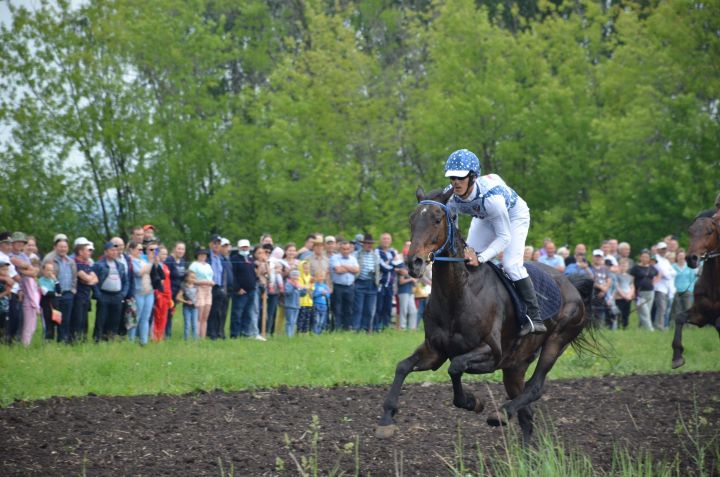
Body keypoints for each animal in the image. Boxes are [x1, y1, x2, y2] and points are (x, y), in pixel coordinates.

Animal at [374, 188, 592, 440]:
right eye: (412, 218)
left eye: (437, 219)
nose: (413, 262)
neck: (460, 294)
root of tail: (572, 284)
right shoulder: (435, 350)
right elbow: (403, 366)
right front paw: (386, 418)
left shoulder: (492, 353)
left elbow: (456, 366)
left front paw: (473, 402)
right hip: (515, 365)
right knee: (526, 413)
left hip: (556, 341)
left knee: (535, 387)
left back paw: (501, 413)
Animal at [668, 211, 720, 368]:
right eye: (690, 232)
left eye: (710, 231)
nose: (691, 258)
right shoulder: (702, 314)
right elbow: (679, 317)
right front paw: (677, 357)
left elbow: (719, 322)